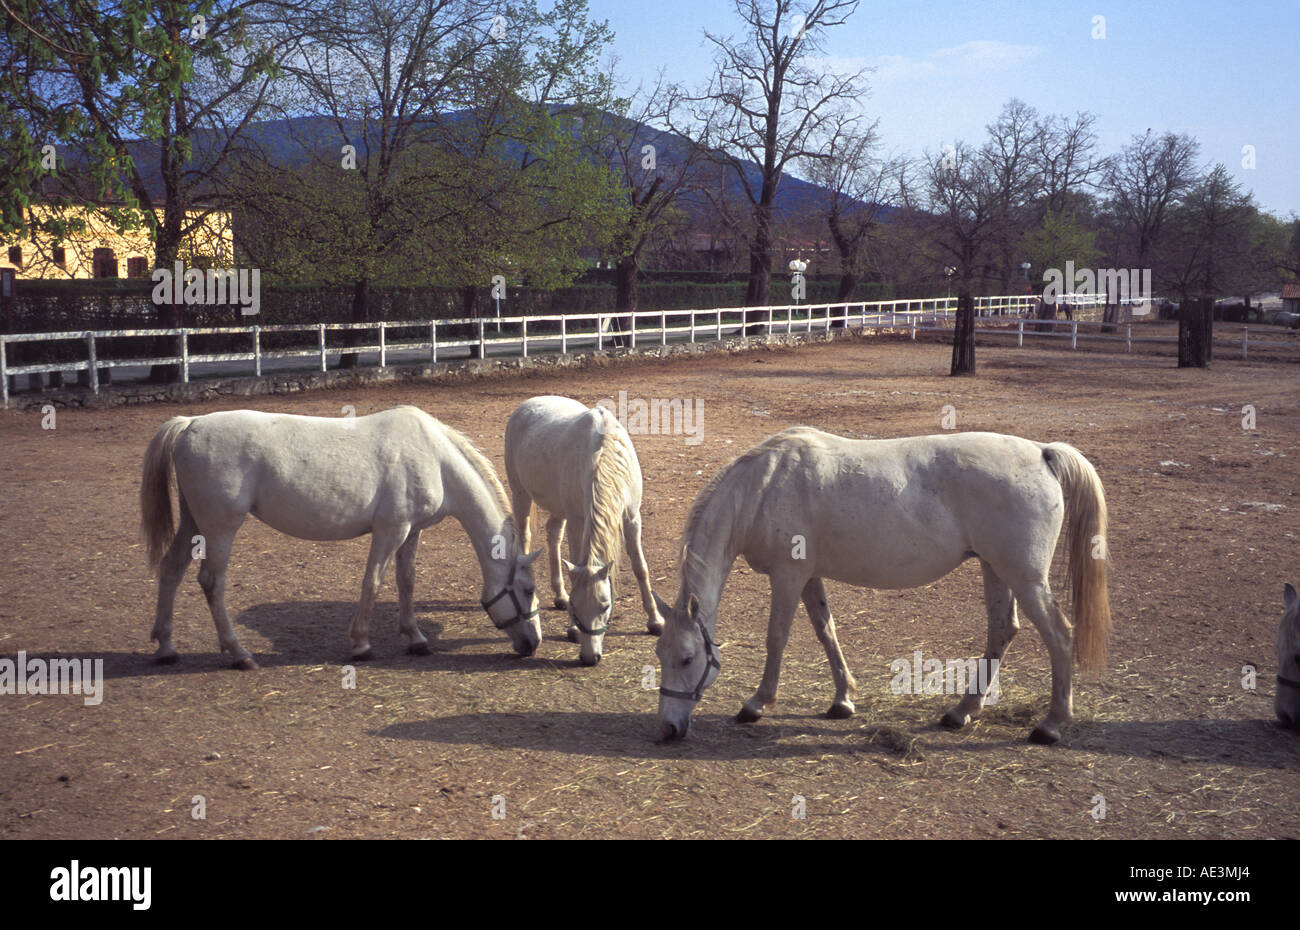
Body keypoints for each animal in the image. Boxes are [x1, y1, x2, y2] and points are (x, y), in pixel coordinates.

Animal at [140, 405, 542, 667]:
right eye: (527, 590)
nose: (532, 642)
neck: (434, 457)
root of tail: (190, 424)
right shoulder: (391, 530)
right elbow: (373, 582)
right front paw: (361, 645)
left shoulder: (411, 532)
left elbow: (406, 581)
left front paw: (415, 638)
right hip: (220, 527)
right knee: (212, 582)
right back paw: (239, 654)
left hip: (194, 523)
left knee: (171, 569)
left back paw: (166, 647)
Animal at [504, 395, 665, 666]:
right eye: (576, 607)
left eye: (605, 606)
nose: (590, 657)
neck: (604, 457)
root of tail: (526, 405)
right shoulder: (578, 520)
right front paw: (572, 628)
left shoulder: (632, 518)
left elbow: (640, 568)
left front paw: (655, 621)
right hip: (521, 495)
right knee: (525, 537)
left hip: (558, 508)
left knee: (553, 534)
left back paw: (559, 595)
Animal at [653, 427, 1111, 745]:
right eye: (661, 654)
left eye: (687, 658)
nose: (668, 728)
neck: (763, 487)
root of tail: (1041, 452)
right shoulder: (809, 577)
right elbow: (826, 631)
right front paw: (843, 699)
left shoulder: (787, 576)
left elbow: (777, 638)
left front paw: (757, 704)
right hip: (997, 570)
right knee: (1002, 630)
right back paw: (962, 710)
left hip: (1024, 577)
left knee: (1059, 635)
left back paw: (1050, 725)